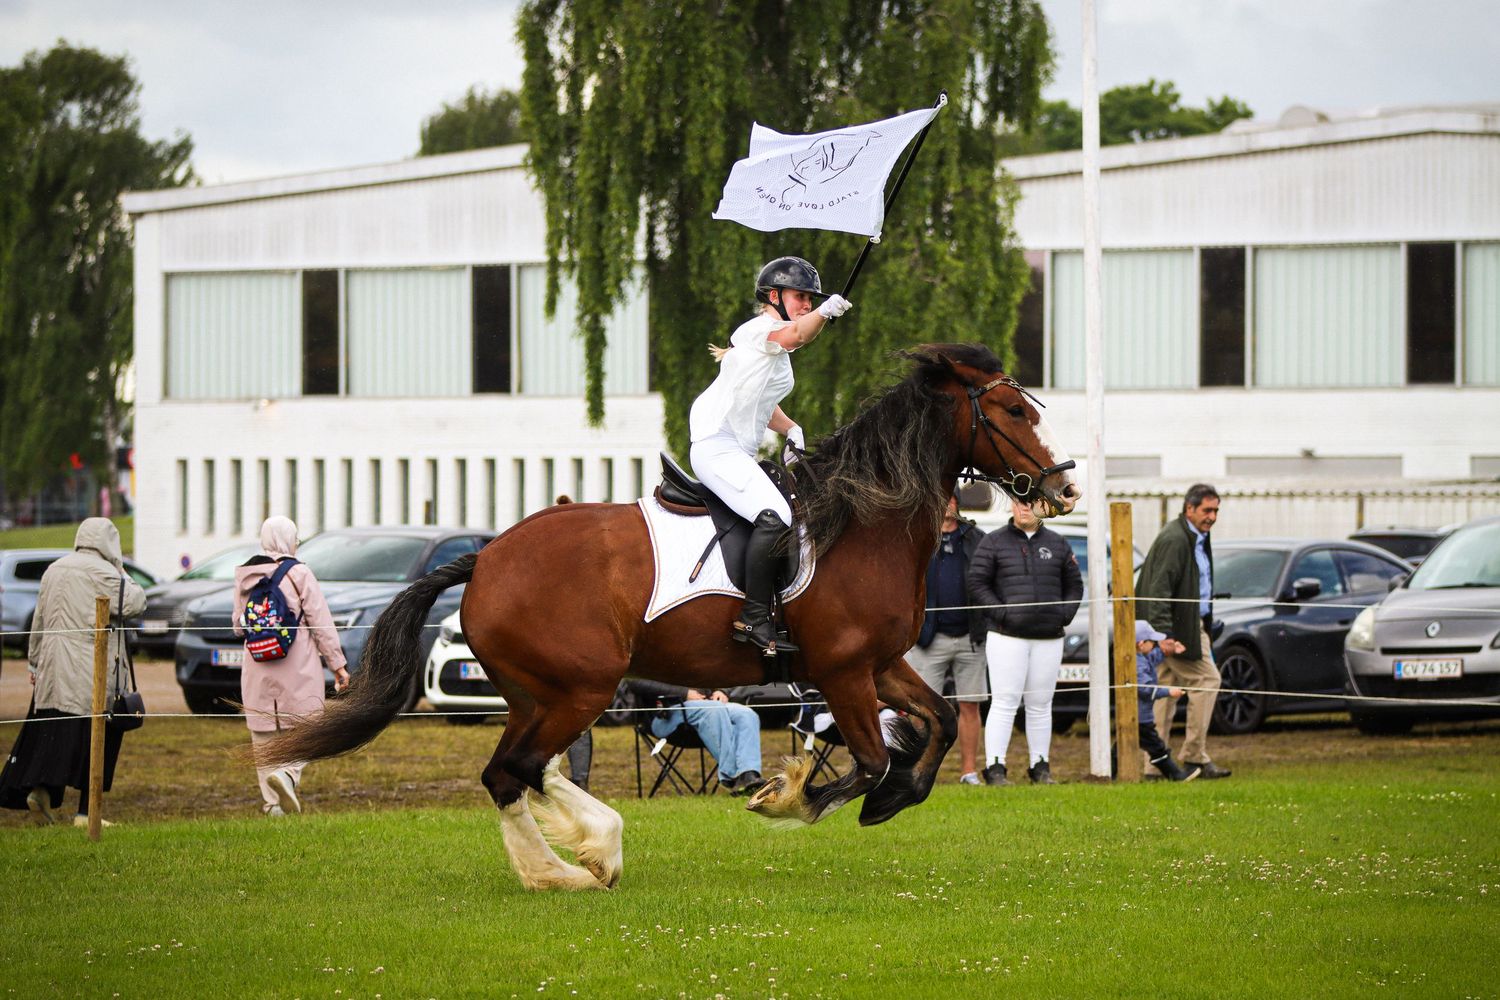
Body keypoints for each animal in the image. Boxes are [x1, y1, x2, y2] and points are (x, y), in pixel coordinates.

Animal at [257, 344, 1079, 891]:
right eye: (1011, 410)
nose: (1063, 490)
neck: (864, 521)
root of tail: (484, 559)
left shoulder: (879, 664)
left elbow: (935, 721)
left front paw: (890, 800)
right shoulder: (844, 669)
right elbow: (871, 757)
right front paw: (792, 798)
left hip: (535, 693)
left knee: (512, 772)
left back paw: (568, 862)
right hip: (582, 688)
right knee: (516, 770)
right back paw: (585, 861)